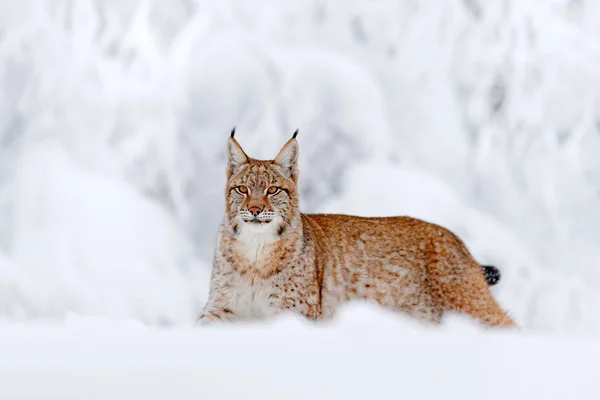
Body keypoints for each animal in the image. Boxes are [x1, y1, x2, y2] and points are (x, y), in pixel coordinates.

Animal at [197, 130, 516, 326]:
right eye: (242, 189)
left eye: (273, 190)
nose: (254, 210)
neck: (256, 249)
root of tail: (455, 239)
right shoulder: (220, 306)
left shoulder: (293, 311)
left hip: (467, 305)